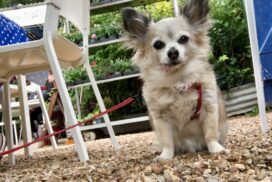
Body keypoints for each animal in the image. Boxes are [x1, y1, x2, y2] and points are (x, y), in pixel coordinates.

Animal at [121, 0, 227, 160]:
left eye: (183, 39)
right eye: (158, 44)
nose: (172, 52)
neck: (177, 80)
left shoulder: (209, 108)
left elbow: (210, 134)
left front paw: (216, 148)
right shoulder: (160, 118)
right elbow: (167, 141)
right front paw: (165, 156)